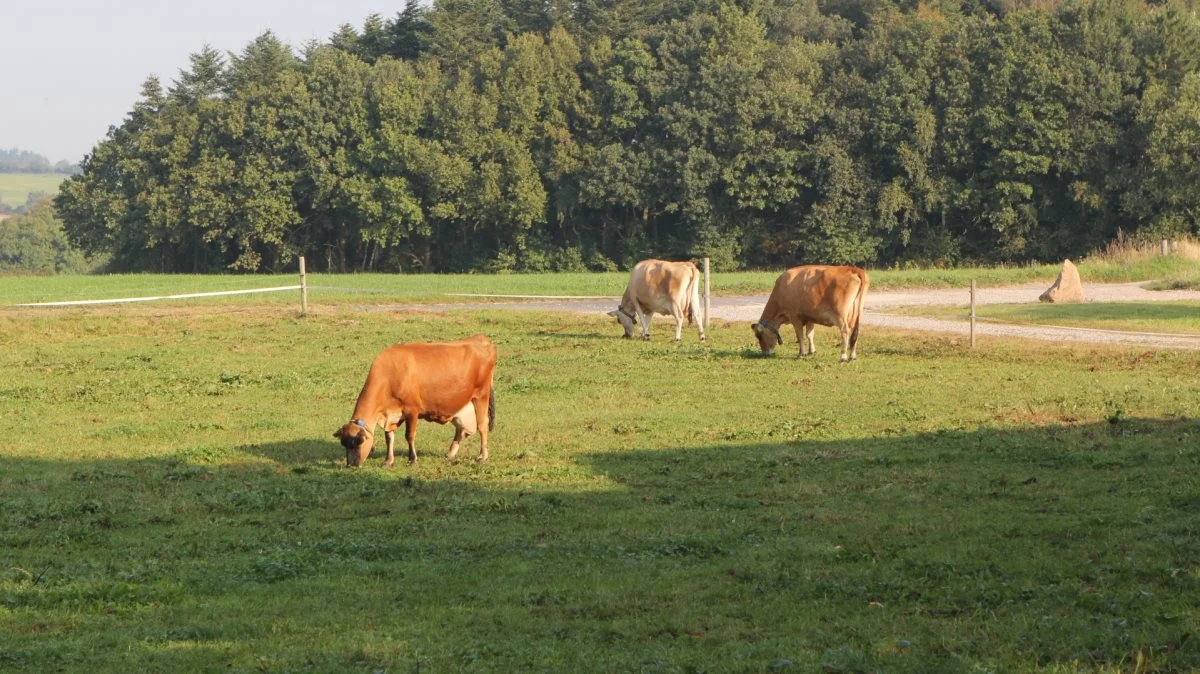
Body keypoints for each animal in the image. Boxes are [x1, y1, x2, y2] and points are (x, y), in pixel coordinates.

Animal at [333, 331, 496, 467]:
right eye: (344, 444)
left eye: (358, 442)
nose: (351, 465)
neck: (389, 376)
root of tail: (482, 339)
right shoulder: (391, 415)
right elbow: (389, 437)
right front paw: (388, 460)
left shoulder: (412, 410)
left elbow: (409, 436)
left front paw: (412, 459)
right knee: (460, 429)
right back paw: (450, 454)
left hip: (481, 395)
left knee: (482, 425)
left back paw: (483, 456)